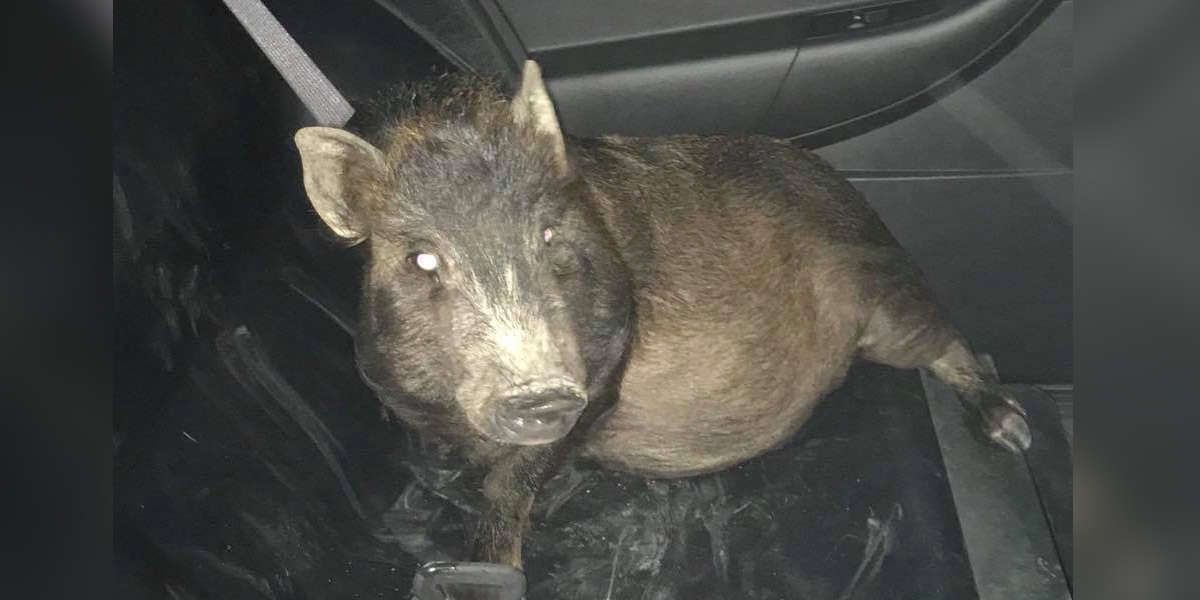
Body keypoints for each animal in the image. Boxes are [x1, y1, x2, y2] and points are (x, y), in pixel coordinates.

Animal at [293, 61, 1031, 571]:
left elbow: (513, 481)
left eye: (551, 235)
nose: (539, 391)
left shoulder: (604, 359)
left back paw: (1014, 433)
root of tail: (850, 191)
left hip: (884, 297)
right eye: (420, 259)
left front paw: (491, 564)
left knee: (951, 340)